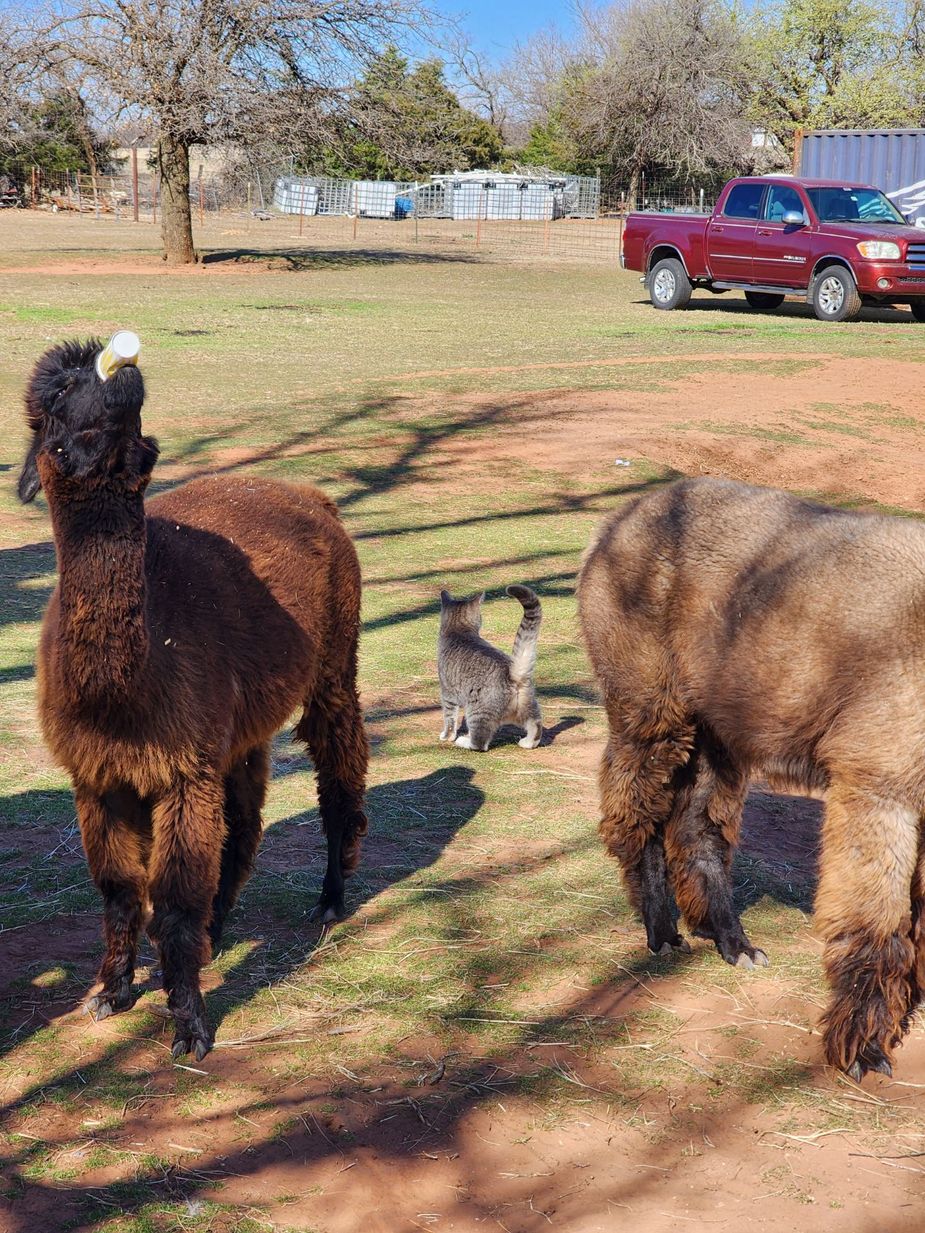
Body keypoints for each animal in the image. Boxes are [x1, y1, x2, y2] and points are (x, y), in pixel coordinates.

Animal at [439, 584, 542, 749]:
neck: (459, 630)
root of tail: (512, 674)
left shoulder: (447, 693)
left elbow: (449, 719)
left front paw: (447, 736)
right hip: (528, 708)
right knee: (536, 726)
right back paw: (527, 742)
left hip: (476, 711)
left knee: (479, 743)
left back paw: (464, 741)